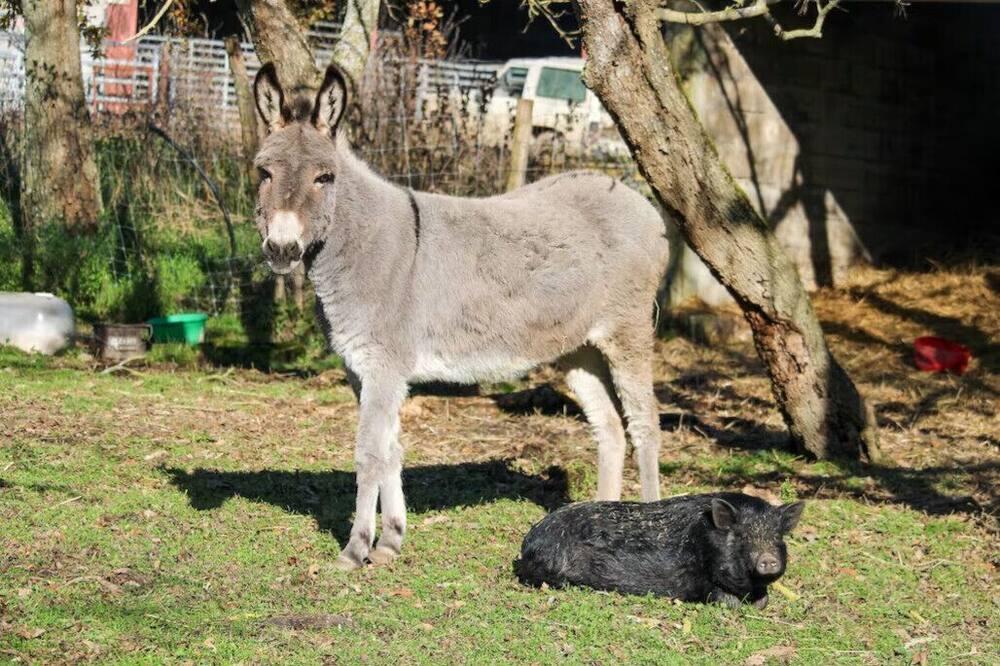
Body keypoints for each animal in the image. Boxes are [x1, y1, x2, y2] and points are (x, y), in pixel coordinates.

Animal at [516, 488, 804, 608]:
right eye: (742, 535)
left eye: (777, 536)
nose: (768, 559)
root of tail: (527, 542)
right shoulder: (702, 582)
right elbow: (728, 601)